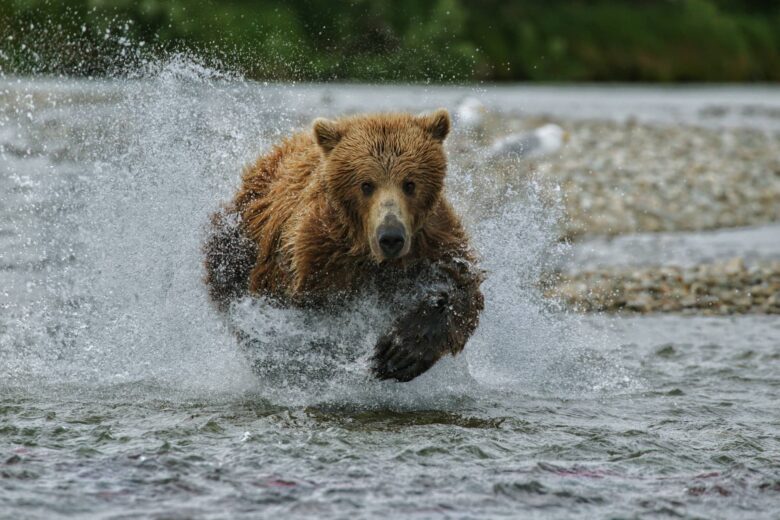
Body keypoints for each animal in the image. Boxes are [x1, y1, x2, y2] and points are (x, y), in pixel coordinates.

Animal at [204, 109, 484, 382]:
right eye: (366, 184)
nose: (391, 237)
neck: (369, 256)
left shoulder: (434, 243)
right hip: (236, 245)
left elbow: (463, 290)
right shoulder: (314, 258)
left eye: (410, 183)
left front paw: (401, 350)